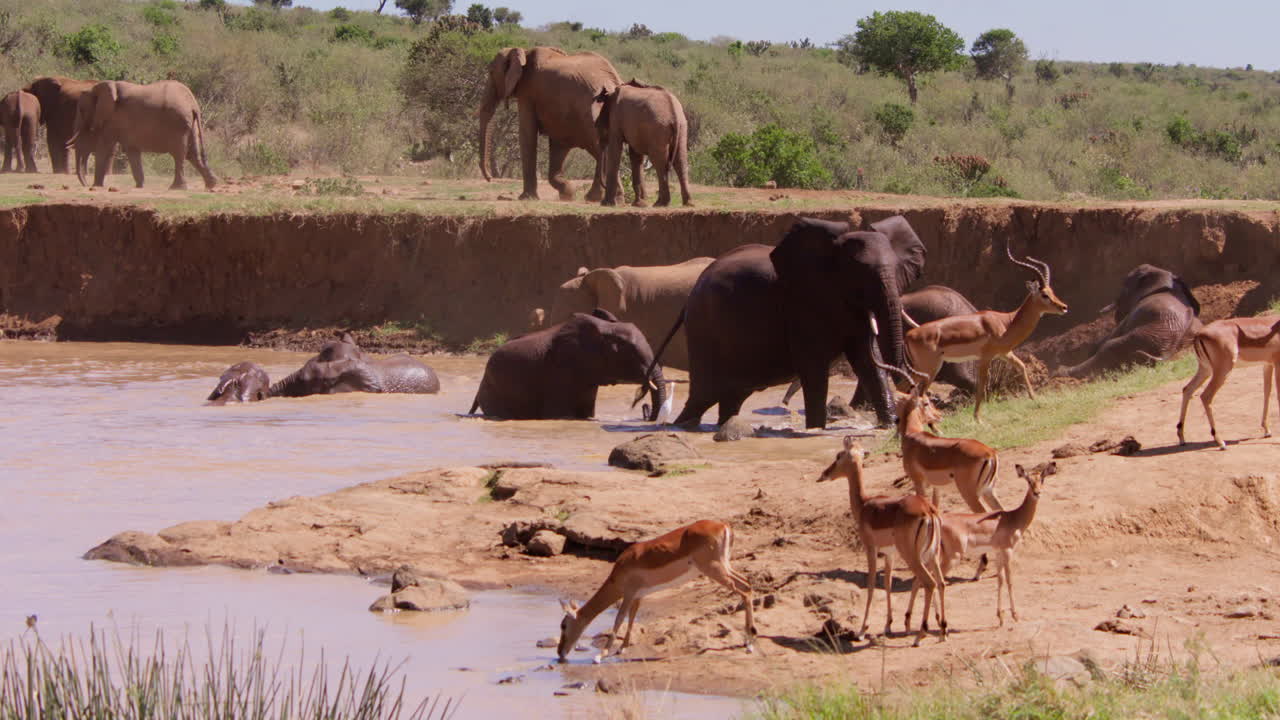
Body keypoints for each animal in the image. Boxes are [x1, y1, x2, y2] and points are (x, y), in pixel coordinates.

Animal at [68, 80, 217, 190]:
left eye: (81, 110)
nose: (86, 185)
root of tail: (193, 105)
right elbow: (132, 150)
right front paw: (140, 186)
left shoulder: (113, 120)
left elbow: (104, 148)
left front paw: (96, 186)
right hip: (191, 124)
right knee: (193, 154)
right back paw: (211, 185)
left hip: (178, 123)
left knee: (179, 154)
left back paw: (176, 188)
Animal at [469, 310, 667, 420]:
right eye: (630, 353)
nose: (646, 412)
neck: (605, 328)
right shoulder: (560, 368)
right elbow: (559, 414)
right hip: (494, 391)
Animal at [478, 46, 622, 202]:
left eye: (491, 72)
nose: (490, 178)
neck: (524, 53)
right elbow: (558, 143)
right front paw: (567, 193)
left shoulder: (528, 93)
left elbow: (527, 134)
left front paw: (526, 198)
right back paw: (603, 198)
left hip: (591, 115)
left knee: (599, 150)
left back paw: (601, 198)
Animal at [656, 215, 926, 429]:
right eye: (859, 272)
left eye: (898, 268)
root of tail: (690, 296)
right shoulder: (802, 303)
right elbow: (814, 367)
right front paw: (816, 430)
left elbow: (868, 361)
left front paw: (888, 425)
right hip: (704, 330)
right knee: (703, 397)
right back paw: (682, 426)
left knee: (730, 397)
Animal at [1056, 264, 1201, 378]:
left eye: (1124, 286)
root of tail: (1167, 352)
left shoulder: (1131, 316)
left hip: (1146, 336)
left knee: (1109, 346)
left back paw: (1060, 372)